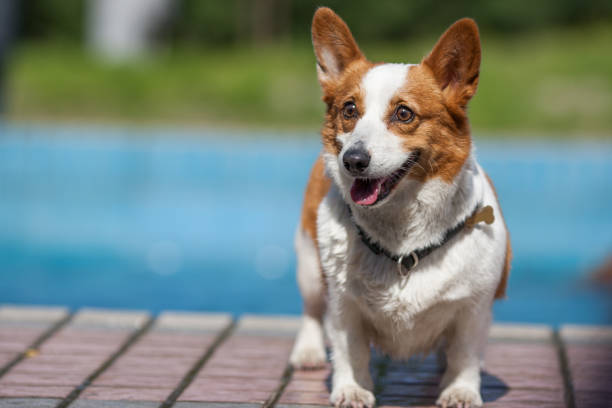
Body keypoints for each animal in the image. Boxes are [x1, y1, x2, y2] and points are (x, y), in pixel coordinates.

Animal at [292, 6, 512, 408]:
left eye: (404, 114)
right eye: (349, 109)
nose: (353, 160)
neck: (402, 234)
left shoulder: (474, 307)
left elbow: (464, 353)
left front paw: (460, 391)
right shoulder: (343, 305)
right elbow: (350, 350)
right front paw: (351, 389)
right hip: (309, 263)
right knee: (312, 310)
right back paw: (309, 352)